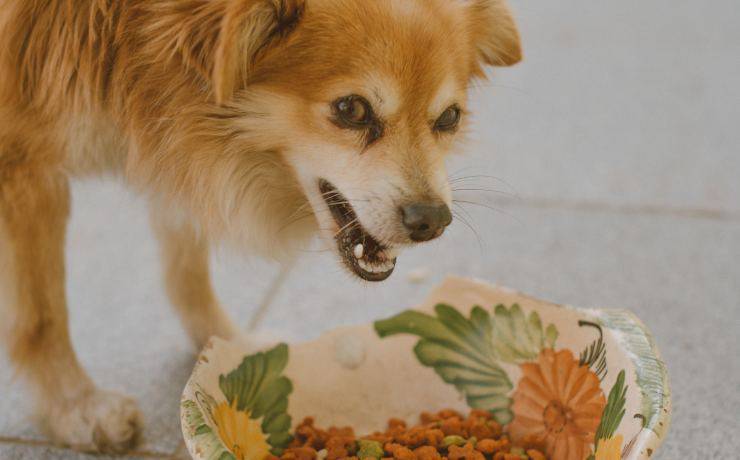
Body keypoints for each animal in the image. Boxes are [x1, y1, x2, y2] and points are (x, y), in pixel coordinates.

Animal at [0, 0, 520, 452]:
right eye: (351, 109)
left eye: (448, 118)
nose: (432, 219)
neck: (127, 37)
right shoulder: (22, 167)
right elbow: (42, 314)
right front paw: (76, 407)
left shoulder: (173, 147)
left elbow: (186, 265)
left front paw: (225, 347)